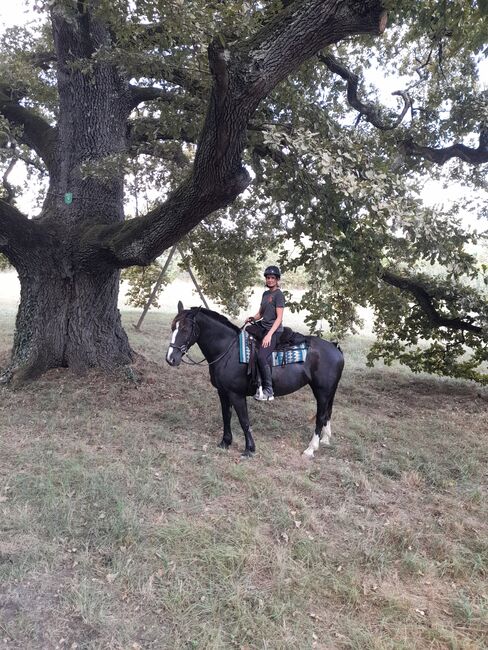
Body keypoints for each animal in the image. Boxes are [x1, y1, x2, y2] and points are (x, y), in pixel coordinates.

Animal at [166, 300, 346, 456]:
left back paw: (311, 449)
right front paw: (225, 442)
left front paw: (249, 449)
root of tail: (334, 347)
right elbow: (226, 416)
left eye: (185, 329)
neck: (228, 350)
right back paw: (325, 439)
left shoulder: (236, 394)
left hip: (322, 391)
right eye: (173, 327)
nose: (171, 359)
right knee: (327, 413)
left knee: (320, 417)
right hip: (329, 391)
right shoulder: (223, 392)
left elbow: (244, 421)